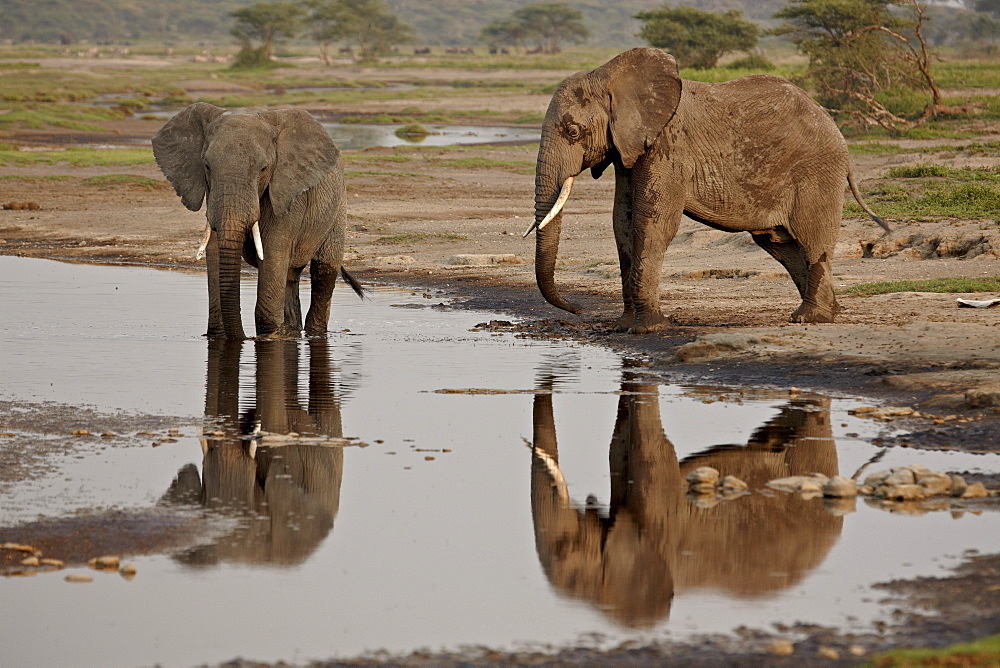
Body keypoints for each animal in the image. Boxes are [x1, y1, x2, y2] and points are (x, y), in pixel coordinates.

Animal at [151, 103, 364, 340]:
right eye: (206, 166)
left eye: (263, 169)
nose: (245, 337)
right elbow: (215, 250)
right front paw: (221, 336)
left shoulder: (287, 194)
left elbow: (272, 252)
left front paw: (268, 336)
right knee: (290, 276)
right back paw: (291, 332)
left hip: (338, 206)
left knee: (324, 271)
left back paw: (313, 333)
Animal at [524, 47, 892, 332]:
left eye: (573, 131)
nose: (577, 309)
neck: (609, 76)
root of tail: (834, 127)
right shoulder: (629, 150)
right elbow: (622, 223)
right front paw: (623, 327)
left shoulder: (669, 146)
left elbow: (651, 223)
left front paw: (647, 329)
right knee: (780, 243)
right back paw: (817, 314)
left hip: (816, 172)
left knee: (811, 239)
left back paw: (812, 319)